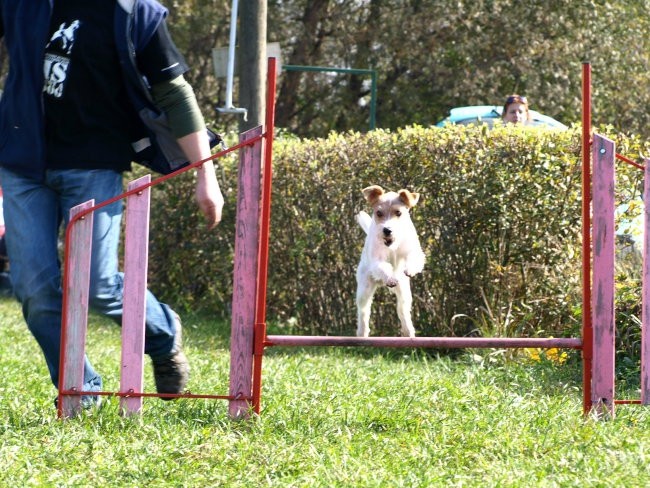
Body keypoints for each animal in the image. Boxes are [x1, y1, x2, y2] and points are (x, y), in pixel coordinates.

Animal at [354, 185, 426, 338]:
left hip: (404, 292)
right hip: (364, 289)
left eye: (398, 212)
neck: (392, 245)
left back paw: (408, 331)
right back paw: (362, 332)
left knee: (402, 310)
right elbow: (383, 267)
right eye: (379, 213)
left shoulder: (413, 251)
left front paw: (410, 269)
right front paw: (390, 278)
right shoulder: (377, 261)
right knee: (363, 311)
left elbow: (414, 258)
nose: (387, 230)